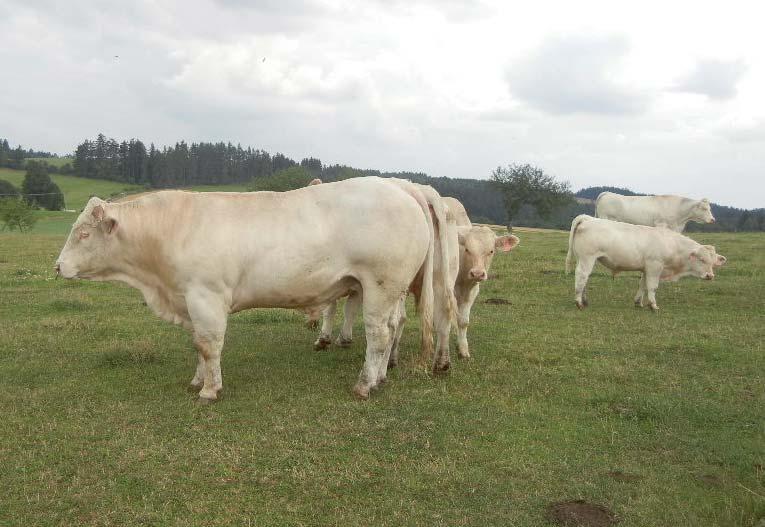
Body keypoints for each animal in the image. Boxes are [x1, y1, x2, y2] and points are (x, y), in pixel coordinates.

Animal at [59, 177, 456, 400]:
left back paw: (363, 385)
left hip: (381, 285)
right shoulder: (189, 300)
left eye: (83, 233)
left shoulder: (206, 297)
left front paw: (210, 390)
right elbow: (198, 345)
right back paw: (380, 378)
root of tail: (404, 189)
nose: (58, 266)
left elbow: (209, 344)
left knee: (378, 335)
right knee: (391, 329)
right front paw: (197, 381)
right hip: (388, 290)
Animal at [564, 214, 724, 312]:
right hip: (587, 258)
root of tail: (588, 218)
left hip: (584, 259)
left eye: (712, 262)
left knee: (585, 279)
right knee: (581, 276)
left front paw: (638, 303)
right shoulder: (655, 266)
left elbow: (643, 285)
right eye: (702, 259)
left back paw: (584, 301)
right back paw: (579, 302)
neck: (671, 244)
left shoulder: (646, 269)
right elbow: (652, 287)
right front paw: (653, 306)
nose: (710, 276)